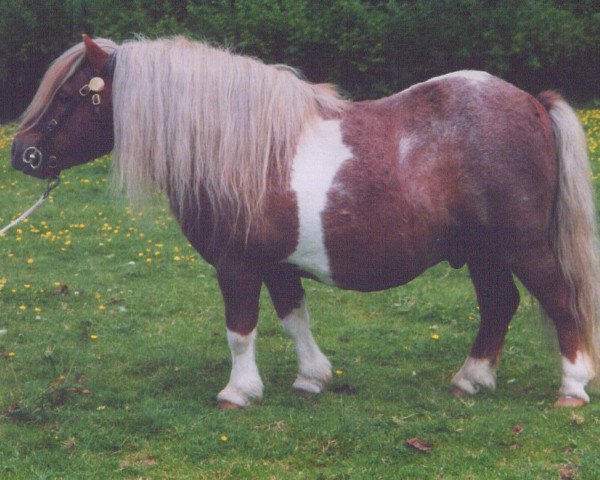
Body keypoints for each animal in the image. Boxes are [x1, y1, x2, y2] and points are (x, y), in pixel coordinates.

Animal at [10, 34, 600, 408]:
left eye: (68, 96)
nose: (22, 154)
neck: (240, 151)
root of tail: (532, 103)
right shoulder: (276, 263)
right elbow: (294, 317)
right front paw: (312, 379)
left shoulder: (237, 265)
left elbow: (240, 330)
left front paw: (238, 392)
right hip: (483, 252)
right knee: (500, 305)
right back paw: (470, 380)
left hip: (522, 246)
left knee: (559, 299)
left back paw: (571, 388)